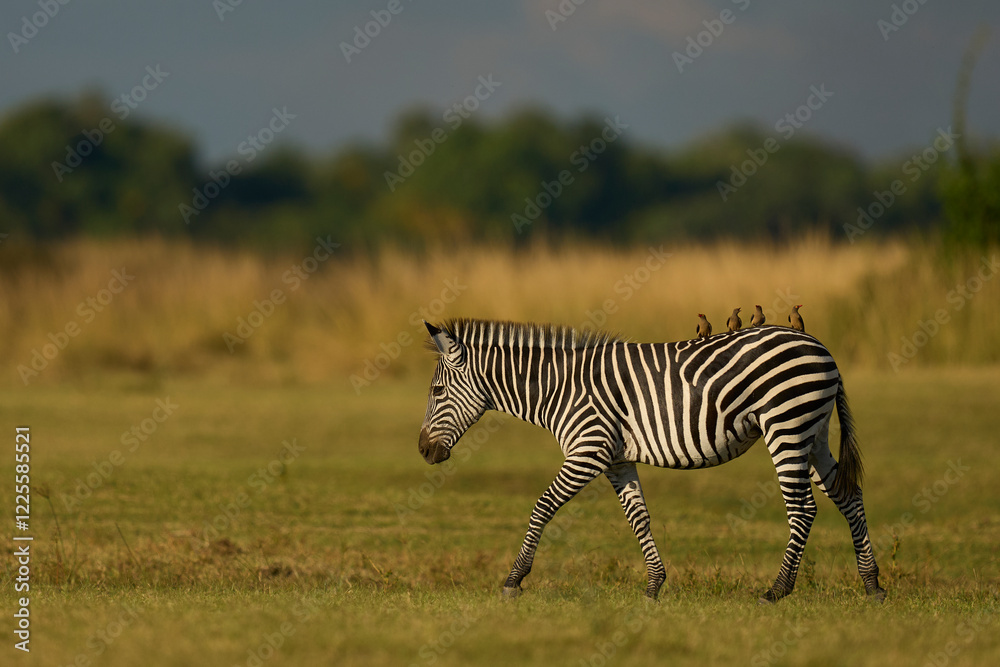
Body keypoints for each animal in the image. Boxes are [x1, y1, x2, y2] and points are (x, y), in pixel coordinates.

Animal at [417, 318, 885, 603]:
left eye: (437, 392)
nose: (422, 451)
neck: (557, 388)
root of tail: (820, 347)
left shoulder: (588, 450)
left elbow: (542, 508)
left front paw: (514, 580)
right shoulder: (616, 460)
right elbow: (638, 518)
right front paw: (654, 586)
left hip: (786, 427)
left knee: (803, 509)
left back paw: (777, 590)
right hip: (813, 434)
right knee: (849, 496)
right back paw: (872, 585)